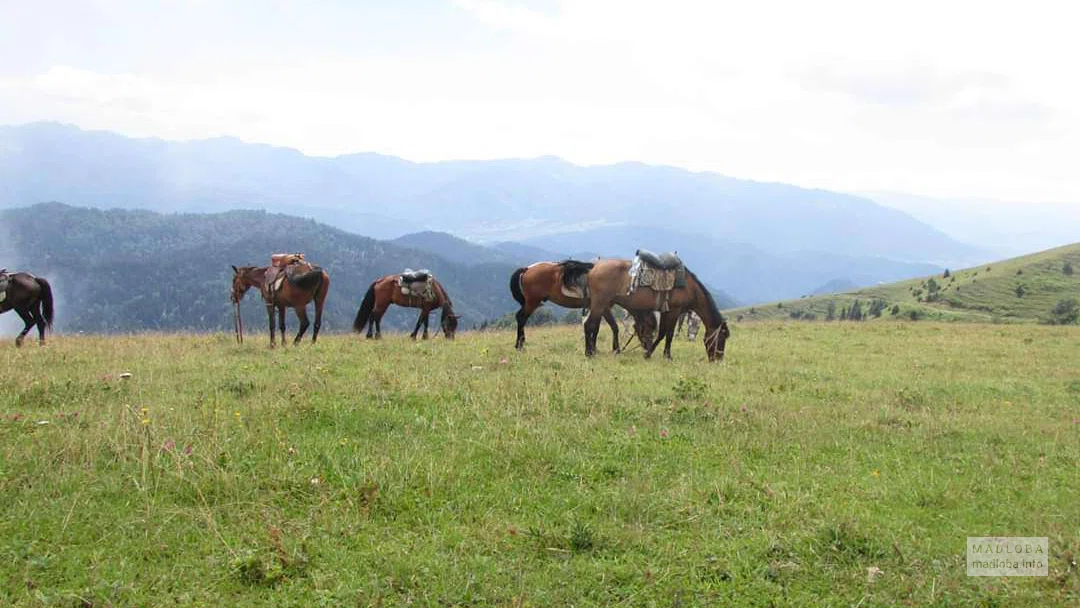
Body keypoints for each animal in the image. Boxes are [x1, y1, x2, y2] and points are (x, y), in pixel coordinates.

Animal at [507, 260, 656, 352]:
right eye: (649, 327)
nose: (648, 347)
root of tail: (527, 269)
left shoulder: (602, 308)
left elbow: (599, 328)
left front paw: (596, 348)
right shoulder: (603, 307)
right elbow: (612, 326)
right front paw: (615, 349)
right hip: (532, 302)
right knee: (521, 318)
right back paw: (520, 345)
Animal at [583, 258, 734, 360]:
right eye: (721, 338)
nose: (718, 359)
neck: (689, 287)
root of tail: (593, 269)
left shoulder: (667, 312)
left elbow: (662, 333)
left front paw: (649, 352)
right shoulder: (674, 311)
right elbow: (668, 334)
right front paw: (665, 355)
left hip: (602, 305)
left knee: (590, 325)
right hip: (599, 304)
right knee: (589, 325)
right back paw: (589, 353)